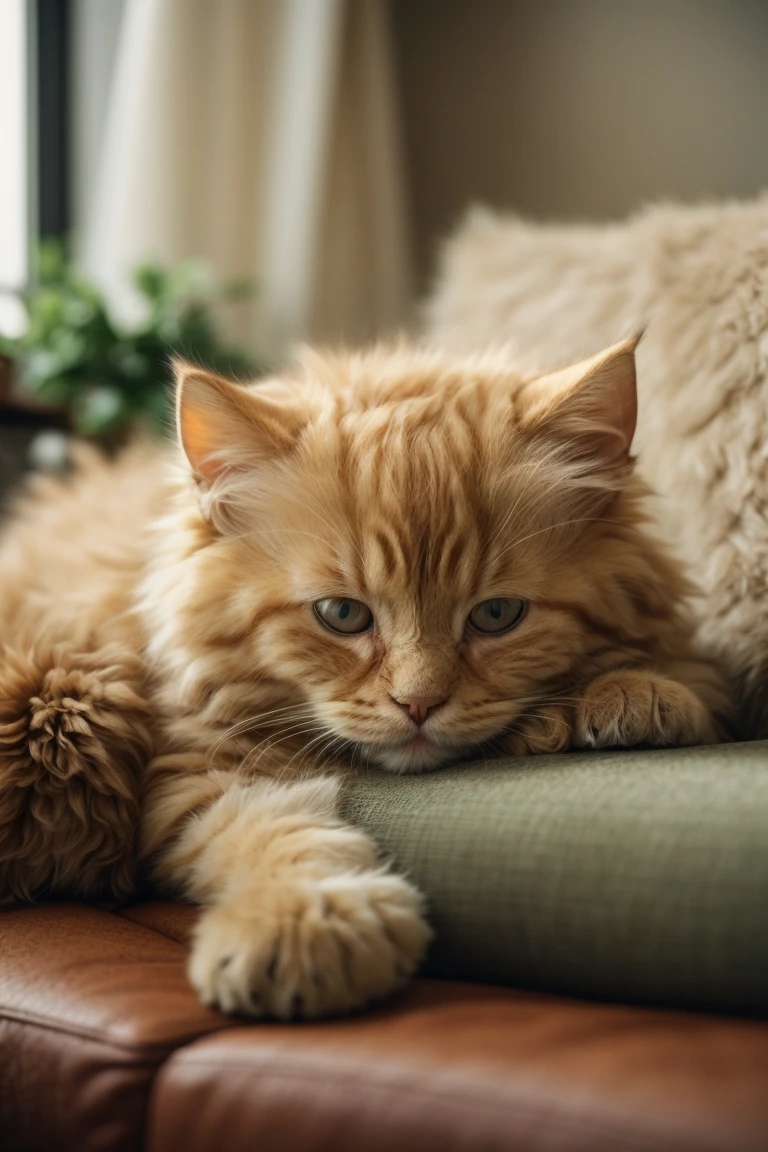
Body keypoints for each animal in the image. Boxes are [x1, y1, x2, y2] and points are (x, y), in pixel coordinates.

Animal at [0, 338, 732, 1018]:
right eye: (343, 615)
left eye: (496, 615)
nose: (419, 703)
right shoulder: (203, 769)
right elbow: (274, 834)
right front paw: (306, 923)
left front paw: (636, 691)